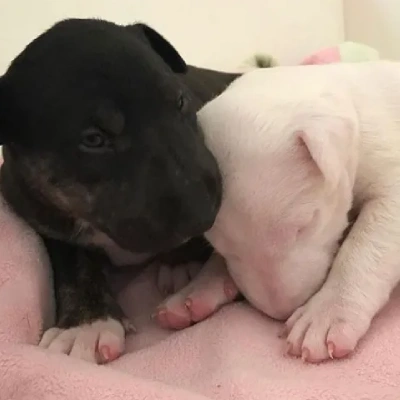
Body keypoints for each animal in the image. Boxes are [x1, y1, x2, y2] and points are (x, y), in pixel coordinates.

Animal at [0, 18, 250, 362]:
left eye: (180, 101)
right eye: (93, 140)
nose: (204, 216)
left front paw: (182, 262)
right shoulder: (37, 213)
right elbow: (73, 260)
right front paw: (86, 324)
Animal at [156, 61, 400, 362]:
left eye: (305, 226)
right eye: (221, 246)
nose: (280, 312)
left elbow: (362, 249)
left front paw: (325, 314)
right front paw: (196, 291)